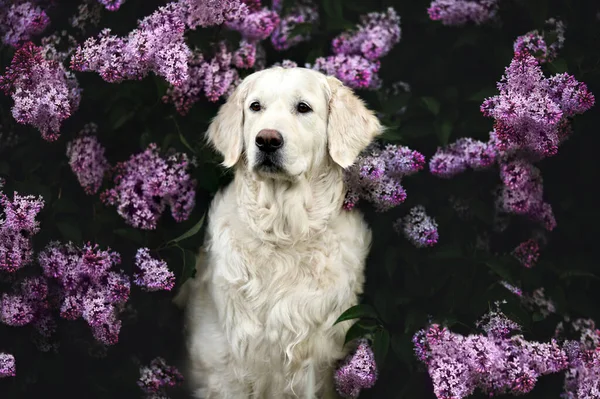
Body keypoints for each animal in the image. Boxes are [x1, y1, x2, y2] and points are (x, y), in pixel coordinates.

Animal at [177, 67, 384, 398]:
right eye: (255, 106)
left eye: (303, 107)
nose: (267, 140)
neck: (283, 233)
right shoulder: (225, 365)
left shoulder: (315, 361)